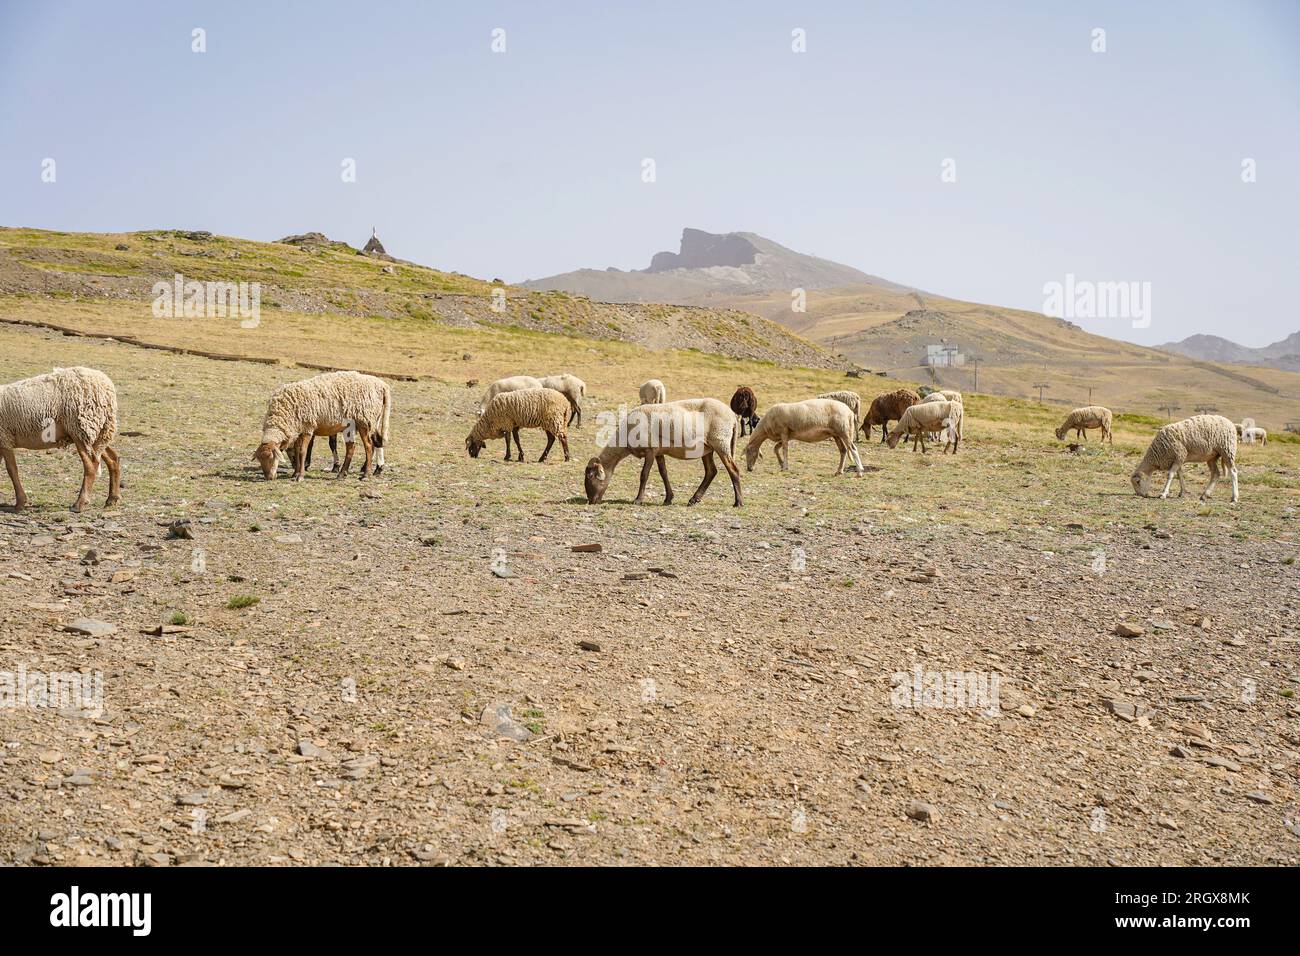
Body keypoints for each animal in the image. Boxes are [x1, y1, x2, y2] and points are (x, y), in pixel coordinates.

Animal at [0, 369, 122, 515]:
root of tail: (108, 389)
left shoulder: (4, 438)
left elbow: (12, 470)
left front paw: (20, 503)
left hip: (80, 429)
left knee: (91, 465)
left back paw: (79, 504)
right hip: (96, 432)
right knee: (113, 458)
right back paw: (112, 499)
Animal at [254, 369, 390, 481]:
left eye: (272, 457)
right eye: (260, 460)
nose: (269, 477)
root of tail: (383, 386)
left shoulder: (308, 427)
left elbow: (303, 451)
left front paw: (300, 475)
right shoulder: (299, 429)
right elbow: (298, 450)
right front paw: (295, 473)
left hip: (364, 420)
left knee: (369, 445)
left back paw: (366, 474)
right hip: (353, 425)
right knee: (353, 446)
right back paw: (343, 474)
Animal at [582, 395, 738, 509]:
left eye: (590, 476)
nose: (591, 501)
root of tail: (733, 416)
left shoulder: (650, 450)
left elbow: (644, 475)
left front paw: (638, 500)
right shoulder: (659, 451)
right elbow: (664, 474)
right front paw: (668, 498)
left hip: (720, 441)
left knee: (733, 470)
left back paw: (738, 502)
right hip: (707, 448)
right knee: (711, 471)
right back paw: (694, 499)